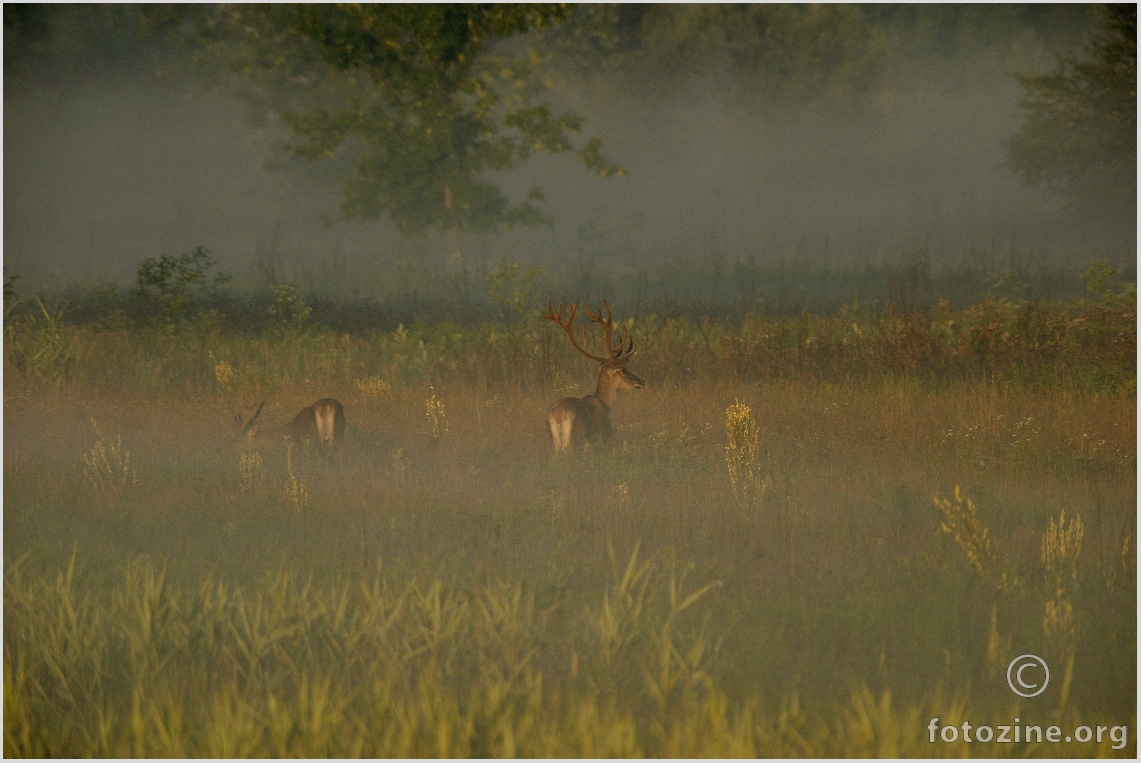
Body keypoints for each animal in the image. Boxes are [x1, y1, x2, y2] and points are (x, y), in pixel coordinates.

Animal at [543, 298, 643, 451]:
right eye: (623, 370)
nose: (641, 381)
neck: (605, 406)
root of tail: (559, 414)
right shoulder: (601, 439)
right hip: (575, 439)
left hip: (555, 444)